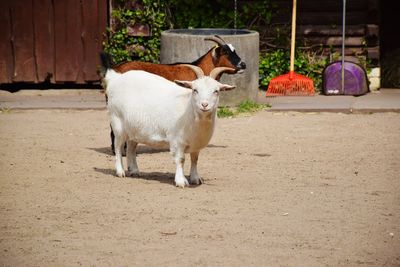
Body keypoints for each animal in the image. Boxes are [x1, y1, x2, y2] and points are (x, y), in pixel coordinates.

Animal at [104, 65, 234, 188]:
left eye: (216, 91)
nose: (204, 105)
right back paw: (120, 171)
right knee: (118, 147)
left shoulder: (196, 144)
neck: (189, 110)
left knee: (131, 147)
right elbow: (181, 160)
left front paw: (195, 178)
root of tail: (115, 78)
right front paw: (181, 181)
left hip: (134, 128)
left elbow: (195, 159)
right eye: (195, 90)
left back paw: (134, 171)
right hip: (117, 123)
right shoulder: (177, 141)